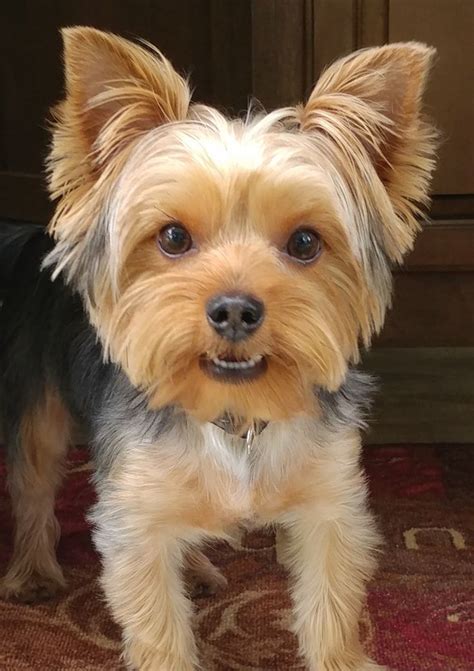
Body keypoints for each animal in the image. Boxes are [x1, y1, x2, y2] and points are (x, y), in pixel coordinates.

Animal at [0, 27, 436, 671]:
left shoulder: (330, 502)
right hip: (39, 402)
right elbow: (158, 625)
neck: (235, 414)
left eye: (305, 243)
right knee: (33, 481)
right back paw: (32, 570)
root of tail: (32, 235)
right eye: (173, 237)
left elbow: (331, 604)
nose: (233, 310)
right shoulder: (135, 518)